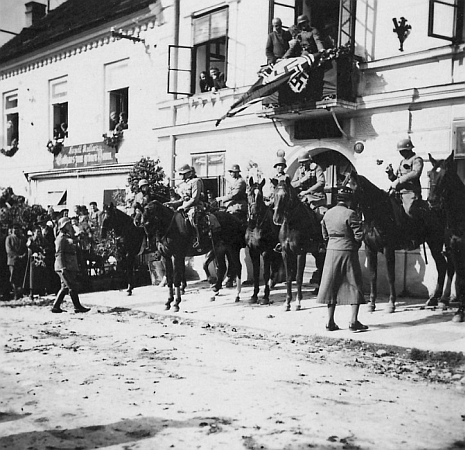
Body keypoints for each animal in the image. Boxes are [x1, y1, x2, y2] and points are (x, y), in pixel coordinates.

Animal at [270, 178, 324, 312]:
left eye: (285, 195)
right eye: (274, 195)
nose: (276, 219)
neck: (291, 224)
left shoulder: (301, 253)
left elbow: (299, 278)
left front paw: (298, 302)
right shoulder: (286, 254)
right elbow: (289, 277)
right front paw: (287, 303)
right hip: (316, 253)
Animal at [346, 171, 448, 312]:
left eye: (352, 188)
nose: (347, 208)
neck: (378, 214)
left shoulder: (388, 249)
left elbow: (390, 276)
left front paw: (391, 304)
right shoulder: (370, 250)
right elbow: (373, 276)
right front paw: (372, 304)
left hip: (435, 243)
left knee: (442, 266)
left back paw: (438, 299)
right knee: (441, 266)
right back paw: (434, 299)